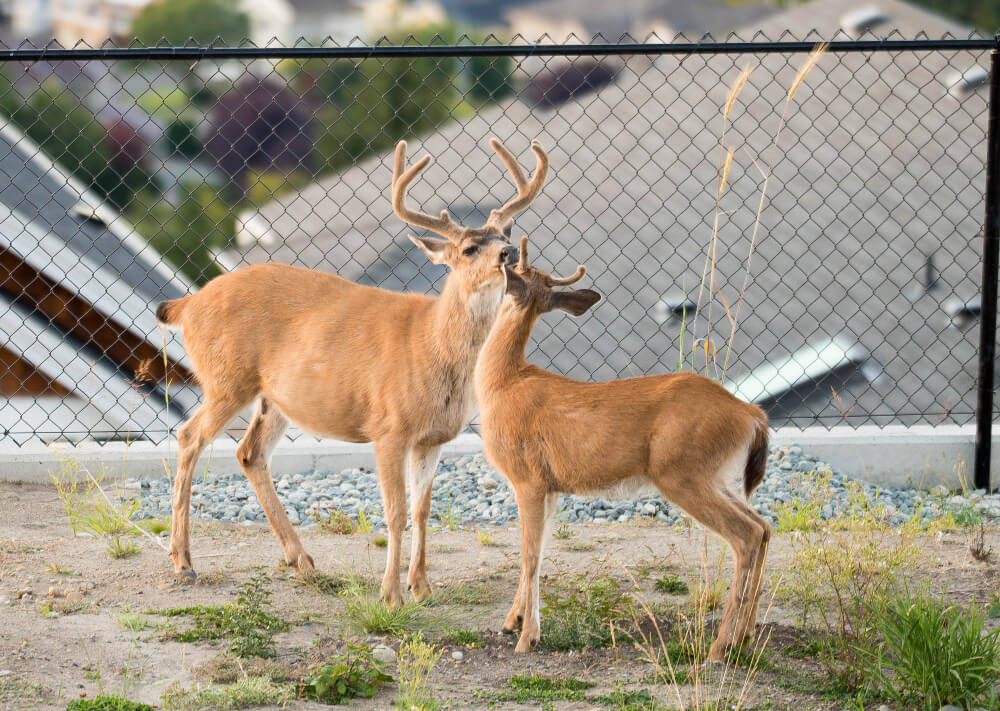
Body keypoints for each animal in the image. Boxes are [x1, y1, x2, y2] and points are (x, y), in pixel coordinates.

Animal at [155, 138, 550, 607]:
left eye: (505, 235)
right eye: (470, 248)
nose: (509, 253)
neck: (432, 344)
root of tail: (187, 304)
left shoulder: (433, 437)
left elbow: (423, 510)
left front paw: (422, 587)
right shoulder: (389, 427)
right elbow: (396, 513)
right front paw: (391, 594)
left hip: (274, 397)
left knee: (249, 453)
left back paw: (301, 560)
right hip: (226, 379)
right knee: (189, 437)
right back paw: (183, 561)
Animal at [474, 237, 771, 658]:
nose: (500, 256)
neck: (503, 381)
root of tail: (752, 414)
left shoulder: (527, 476)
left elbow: (530, 554)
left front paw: (527, 637)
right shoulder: (551, 486)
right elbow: (539, 549)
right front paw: (512, 620)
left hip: (681, 472)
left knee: (746, 535)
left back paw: (721, 645)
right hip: (717, 475)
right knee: (764, 526)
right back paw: (745, 634)